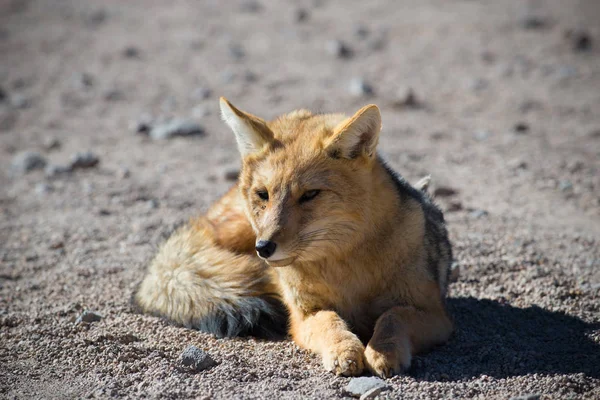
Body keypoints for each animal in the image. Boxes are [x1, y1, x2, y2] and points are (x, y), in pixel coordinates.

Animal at [134, 97, 452, 378]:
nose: (264, 248)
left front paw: (383, 351)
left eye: (310, 195)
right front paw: (345, 350)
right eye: (263, 194)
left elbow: (392, 317)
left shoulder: (435, 314)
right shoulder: (303, 315)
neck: (347, 272)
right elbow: (329, 321)